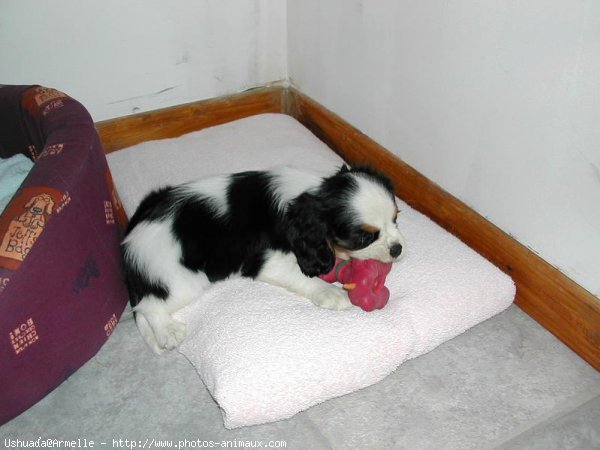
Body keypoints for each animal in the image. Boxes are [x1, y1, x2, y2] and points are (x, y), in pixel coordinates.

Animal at [120, 165, 404, 356]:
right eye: (364, 236)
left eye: (396, 218)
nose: (398, 249)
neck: (310, 197)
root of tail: (129, 242)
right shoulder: (265, 260)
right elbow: (301, 277)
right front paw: (332, 293)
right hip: (183, 279)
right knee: (147, 306)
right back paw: (168, 331)